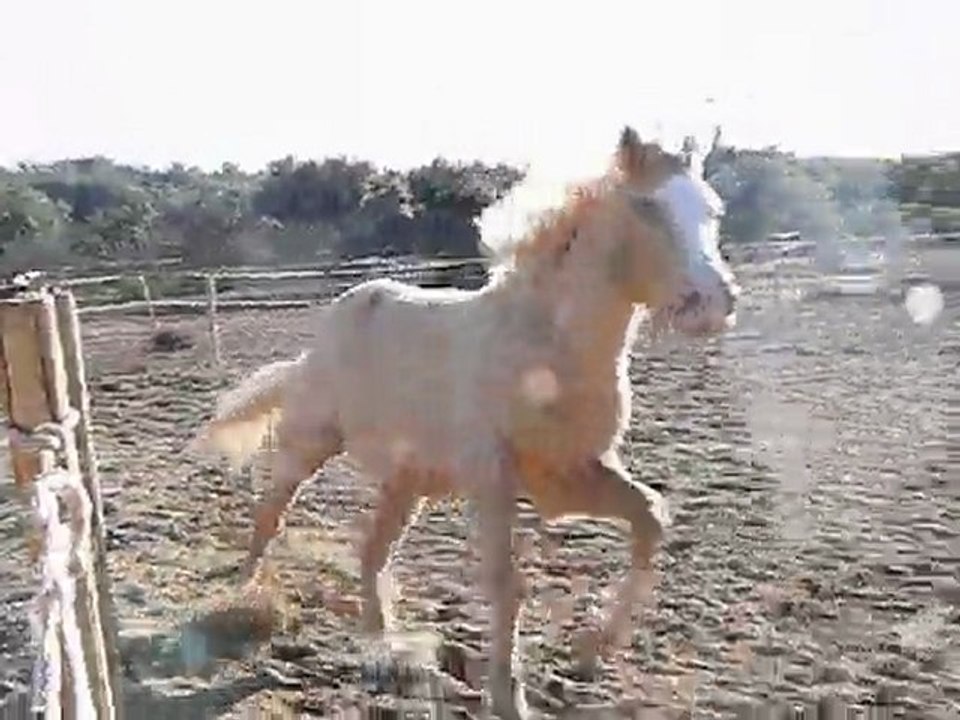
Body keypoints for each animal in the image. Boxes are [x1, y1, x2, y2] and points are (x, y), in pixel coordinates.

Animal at [190, 125, 739, 720]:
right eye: (647, 208)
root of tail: (318, 344)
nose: (715, 302)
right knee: (271, 513)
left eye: (713, 210)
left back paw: (385, 653)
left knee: (372, 550)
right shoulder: (492, 474)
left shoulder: (569, 476)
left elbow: (650, 516)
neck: (544, 346)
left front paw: (591, 648)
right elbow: (506, 583)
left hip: (408, 481)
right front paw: (508, 696)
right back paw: (240, 599)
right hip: (310, 442)